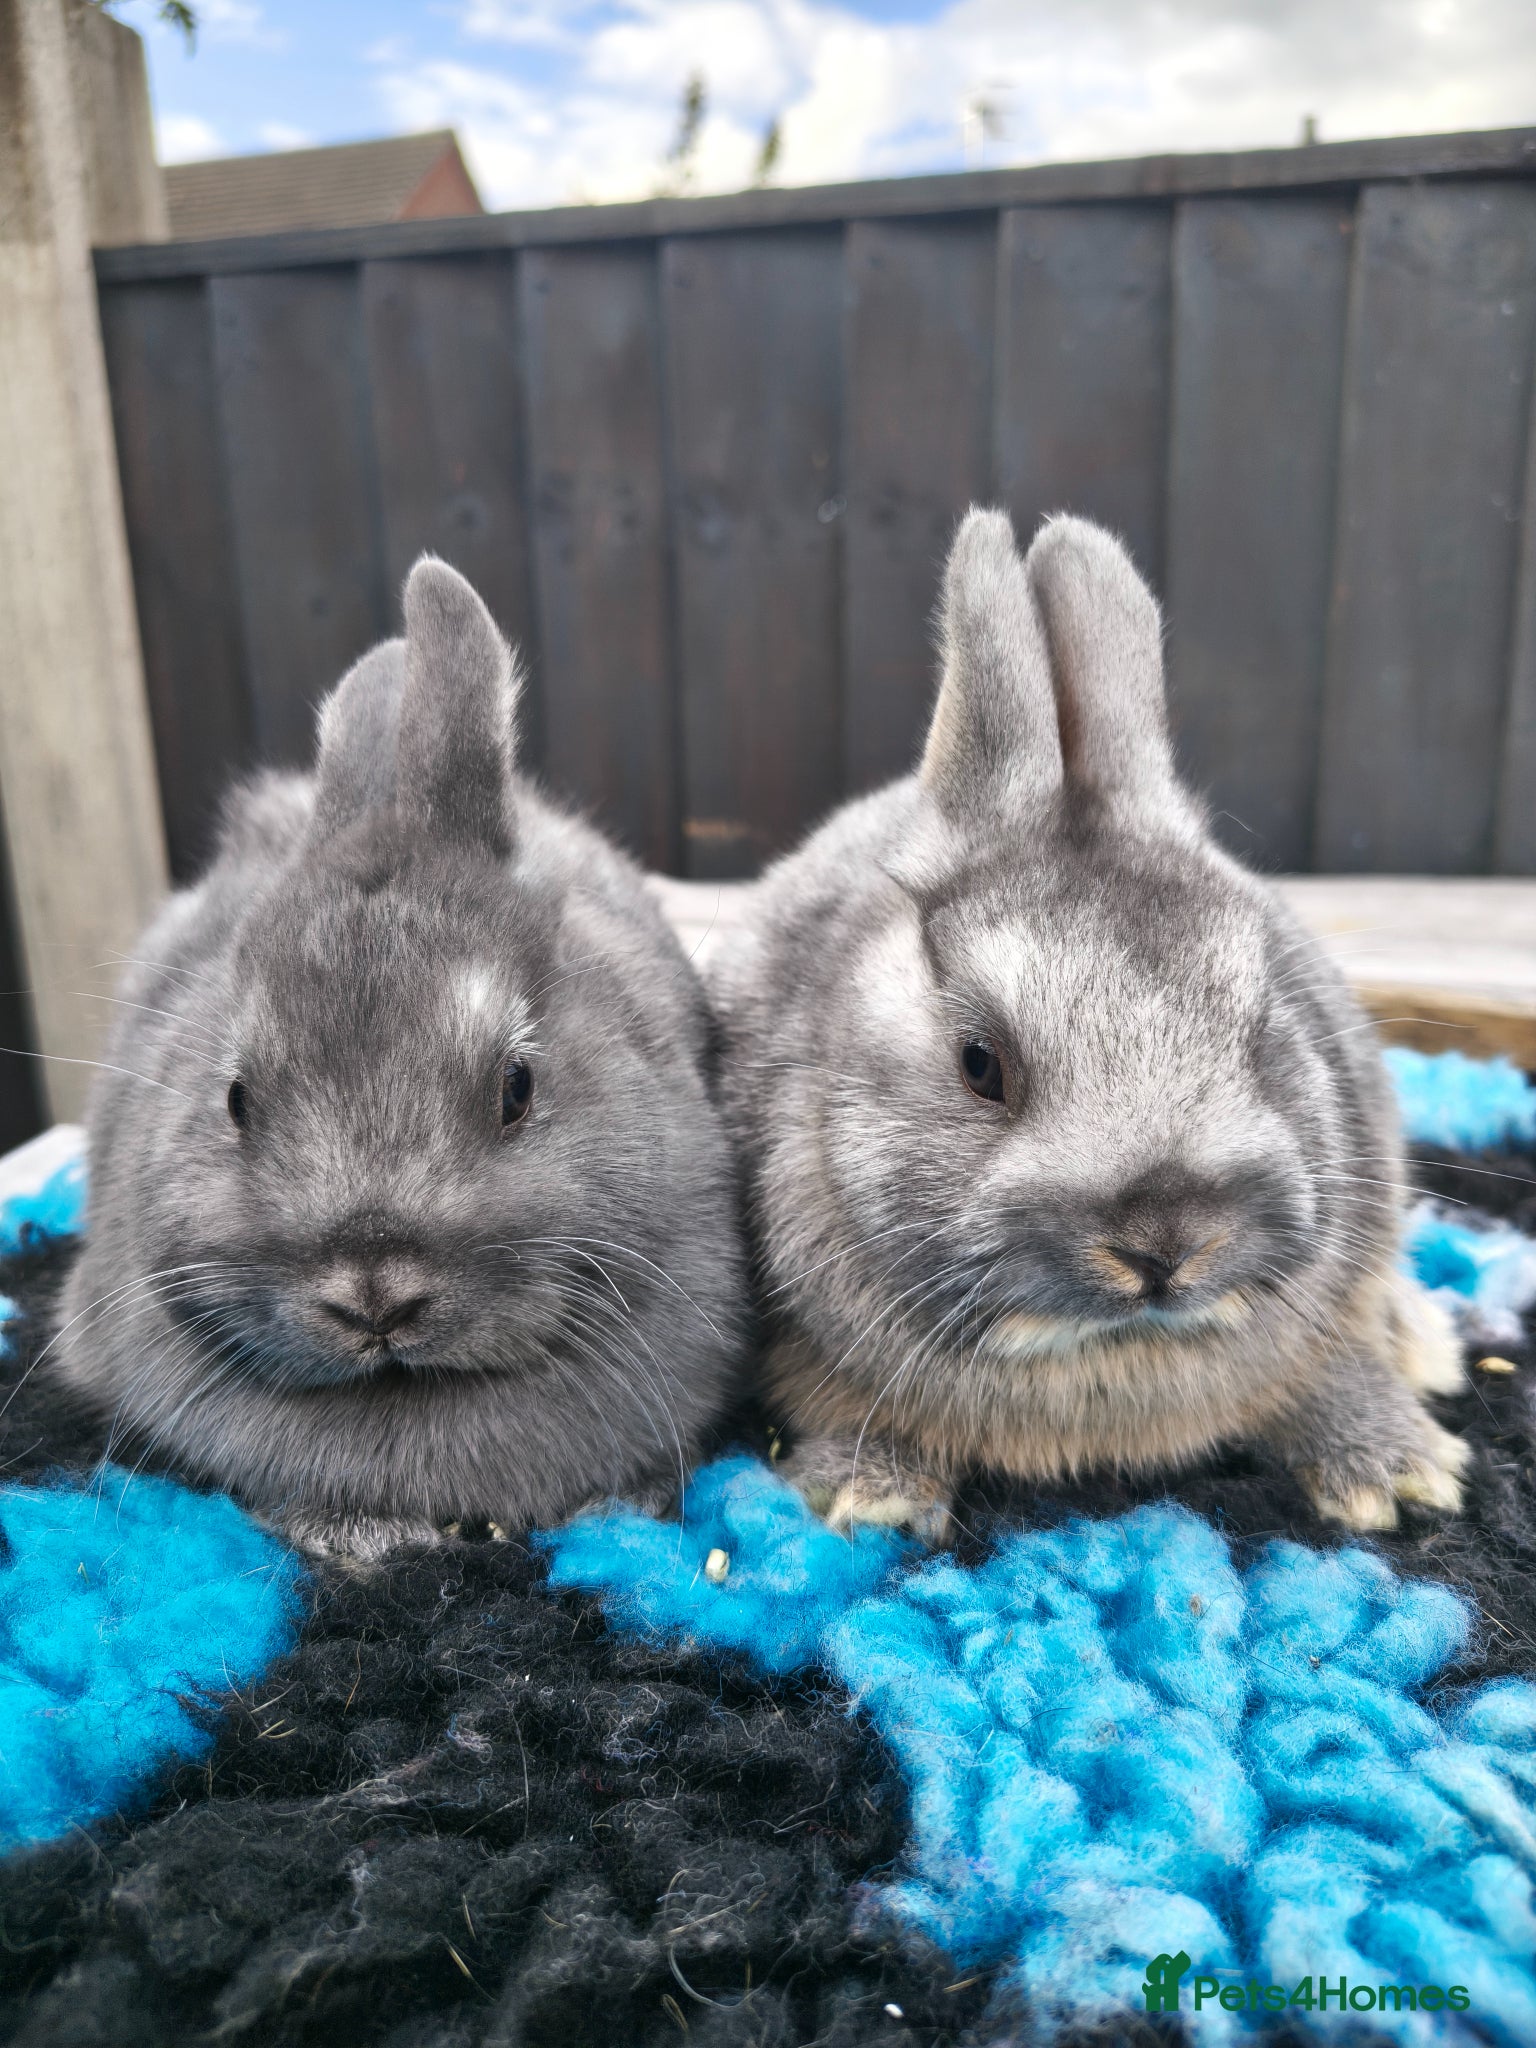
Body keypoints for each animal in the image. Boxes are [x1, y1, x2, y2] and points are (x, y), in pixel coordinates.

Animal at [708, 508, 1466, 1540]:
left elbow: (1332, 1369)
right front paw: (870, 1498)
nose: (1165, 1246)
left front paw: (1402, 1476)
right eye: (979, 1063)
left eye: (1263, 1026)